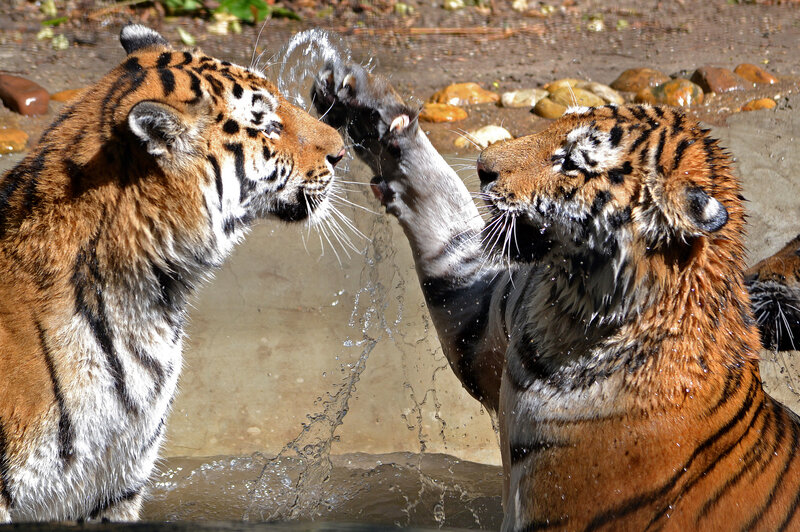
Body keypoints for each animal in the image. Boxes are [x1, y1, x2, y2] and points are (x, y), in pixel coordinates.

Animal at [313, 59, 800, 530]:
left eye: (570, 163)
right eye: (556, 125)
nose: (483, 167)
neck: (568, 310)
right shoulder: (487, 315)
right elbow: (442, 215)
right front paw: (366, 107)